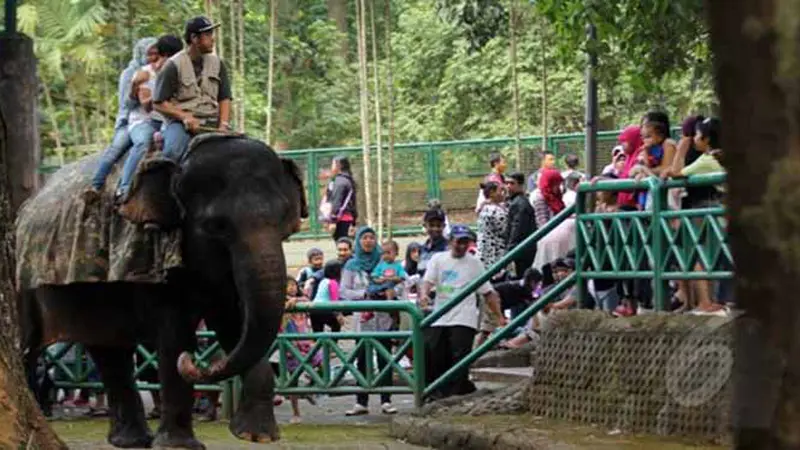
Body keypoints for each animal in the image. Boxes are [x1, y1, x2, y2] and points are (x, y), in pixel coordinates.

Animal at [16, 135, 310, 448]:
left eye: (285, 223)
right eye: (216, 226)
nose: (192, 360)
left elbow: (236, 323)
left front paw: (256, 435)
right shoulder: (153, 255)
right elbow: (174, 334)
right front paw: (178, 445)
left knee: (107, 347)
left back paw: (130, 440)